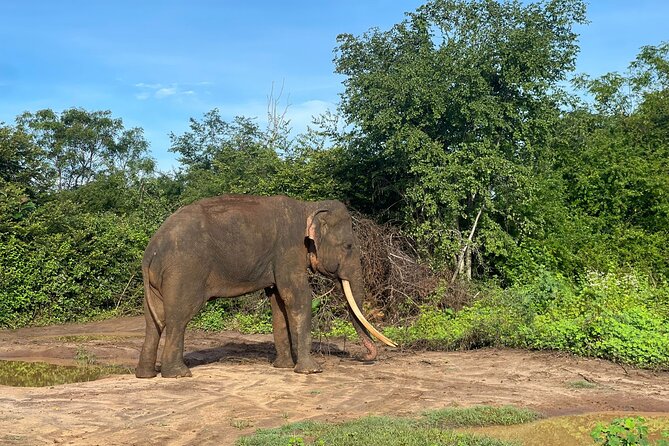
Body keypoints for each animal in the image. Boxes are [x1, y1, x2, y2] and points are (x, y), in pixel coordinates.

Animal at [137, 193, 396, 378]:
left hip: (159, 280)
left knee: (153, 320)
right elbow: (298, 297)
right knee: (178, 317)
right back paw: (178, 374)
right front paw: (311, 370)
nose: (364, 357)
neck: (308, 208)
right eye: (349, 246)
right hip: (184, 271)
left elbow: (278, 303)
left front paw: (283, 367)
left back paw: (146, 374)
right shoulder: (288, 250)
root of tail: (151, 250)